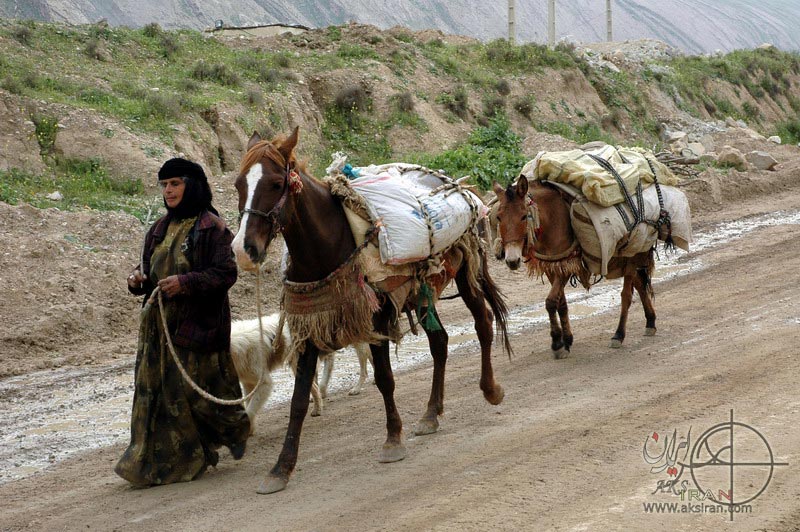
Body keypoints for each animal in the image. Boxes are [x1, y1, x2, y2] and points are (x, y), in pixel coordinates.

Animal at [231, 127, 510, 492]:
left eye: (277, 183)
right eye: (239, 184)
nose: (243, 250)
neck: (327, 248)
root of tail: (462, 188)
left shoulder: (375, 320)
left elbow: (384, 379)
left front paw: (392, 440)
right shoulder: (311, 328)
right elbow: (299, 399)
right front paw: (281, 468)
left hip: (468, 274)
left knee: (483, 323)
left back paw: (490, 390)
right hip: (423, 294)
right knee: (440, 343)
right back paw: (430, 414)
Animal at [494, 178, 656, 358]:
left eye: (523, 216)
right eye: (498, 217)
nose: (512, 260)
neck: (552, 220)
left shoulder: (568, 265)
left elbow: (551, 302)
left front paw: (557, 343)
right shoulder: (553, 266)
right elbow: (561, 303)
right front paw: (567, 340)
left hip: (632, 254)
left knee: (627, 295)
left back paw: (619, 335)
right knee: (640, 284)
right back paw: (650, 321)